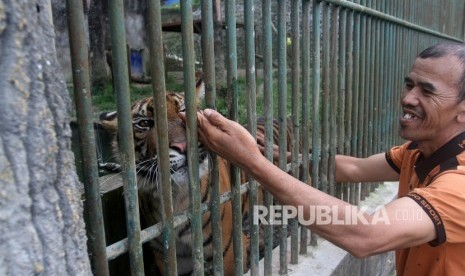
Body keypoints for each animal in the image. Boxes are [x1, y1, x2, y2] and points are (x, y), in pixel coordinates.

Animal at [98, 76, 308, 276]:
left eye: (184, 112)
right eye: (145, 123)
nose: (183, 146)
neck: (177, 198)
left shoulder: (227, 254)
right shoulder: (172, 259)